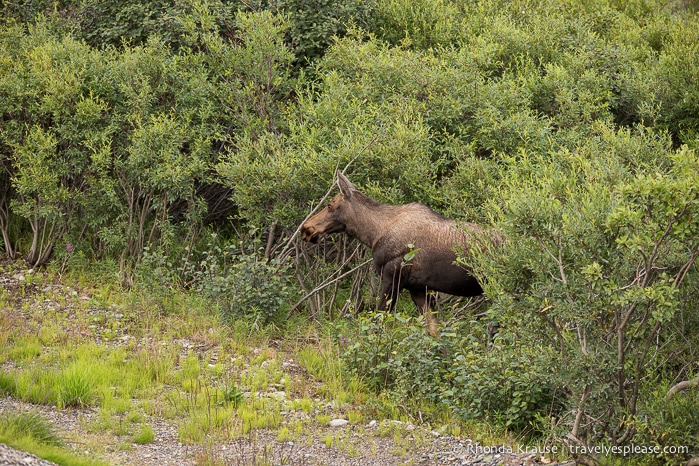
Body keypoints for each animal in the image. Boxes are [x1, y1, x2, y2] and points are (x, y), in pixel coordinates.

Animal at [300, 171, 492, 334]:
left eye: (329, 205)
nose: (306, 228)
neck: (373, 234)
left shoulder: (392, 278)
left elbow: (377, 324)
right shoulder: (417, 287)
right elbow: (434, 332)